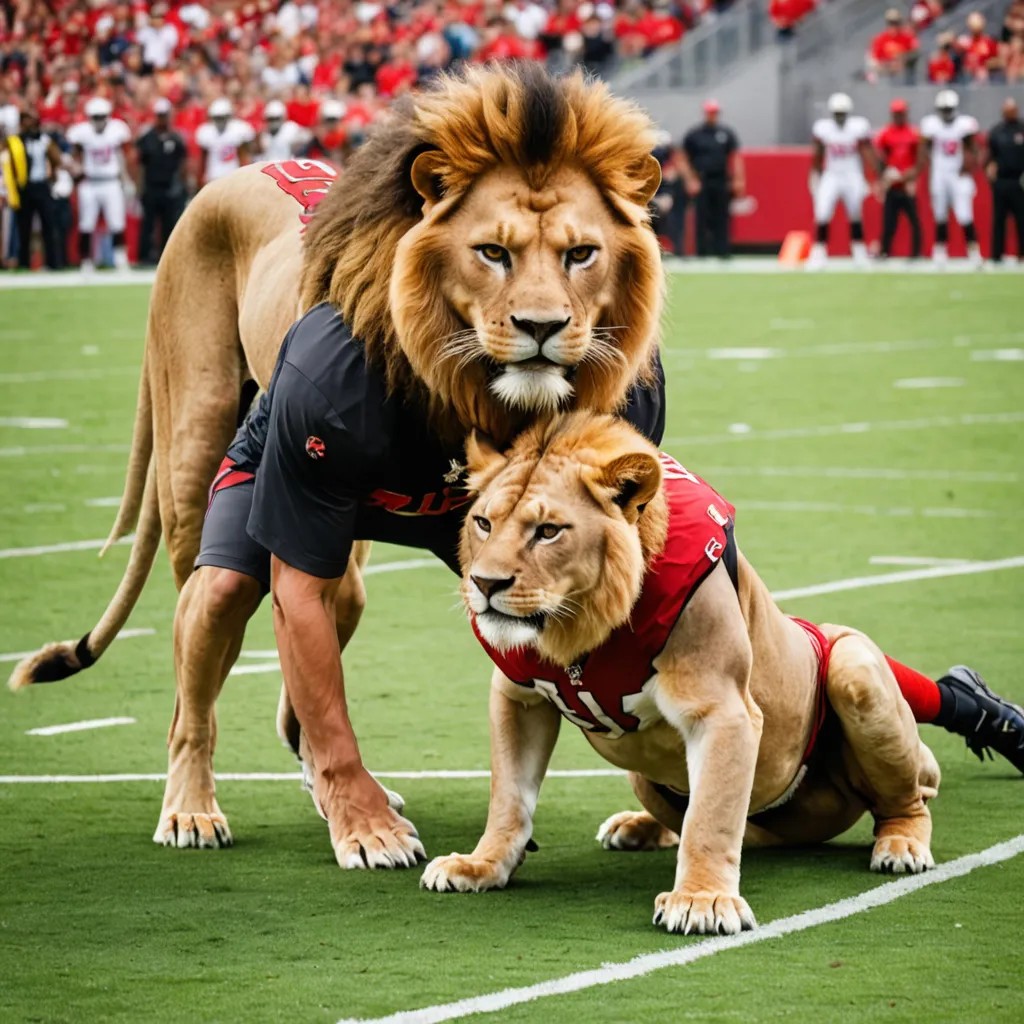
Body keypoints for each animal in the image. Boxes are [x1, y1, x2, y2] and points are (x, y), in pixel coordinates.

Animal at [9, 65, 666, 868]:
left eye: (581, 254)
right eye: (492, 252)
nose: (541, 328)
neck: (473, 390)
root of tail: (237, 172)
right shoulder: (311, 417)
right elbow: (303, 652)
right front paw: (364, 823)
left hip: (347, 564)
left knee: (321, 639)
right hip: (202, 468)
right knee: (206, 644)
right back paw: (192, 807)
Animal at [421, 411, 943, 933]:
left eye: (548, 531)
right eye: (483, 523)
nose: (484, 583)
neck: (580, 627)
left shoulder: (721, 709)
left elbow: (711, 816)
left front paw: (702, 899)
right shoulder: (519, 698)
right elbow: (509, 796)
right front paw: (481, 864)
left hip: (856, 673)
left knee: (908, 798)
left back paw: (901, 845)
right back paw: (638, 827)